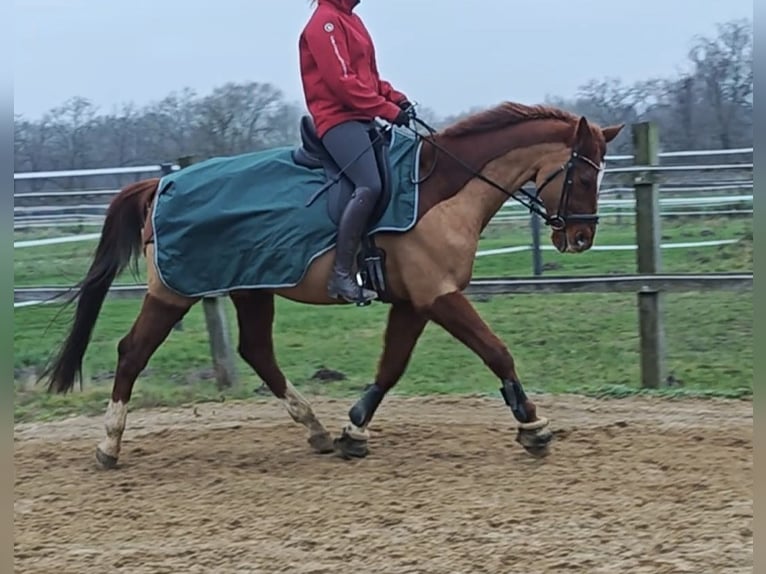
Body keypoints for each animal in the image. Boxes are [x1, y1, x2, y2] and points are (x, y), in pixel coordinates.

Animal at [40, 101, 623, 469]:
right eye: (583, 174)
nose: (581, 237)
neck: (440, 189)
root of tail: (159, 184)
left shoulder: (414, 301)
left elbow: (391, 367)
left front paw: (353, 431)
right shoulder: (439, 295)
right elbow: (497, 352)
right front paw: (533, 427)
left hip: (252, 290)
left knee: (257, 352)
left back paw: (316, 430)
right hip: (175, 293)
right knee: (133, 352)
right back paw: (110, 446)